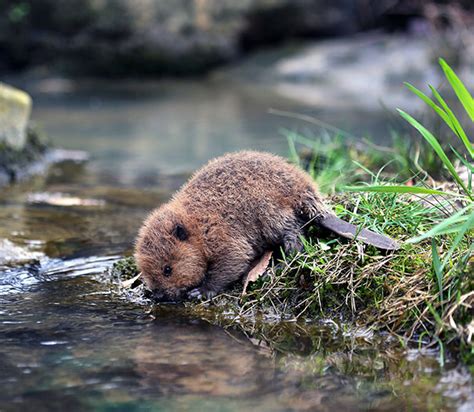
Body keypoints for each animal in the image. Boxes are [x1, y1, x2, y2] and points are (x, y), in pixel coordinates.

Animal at [135, 151, 398, 302]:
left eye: (167, 269)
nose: (158, 296)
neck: (196, 222)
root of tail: (310, 196)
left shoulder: (221, 233)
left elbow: (234, 259)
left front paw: (200, 292)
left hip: (270, 212)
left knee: (294, 237)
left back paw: (279, 266)